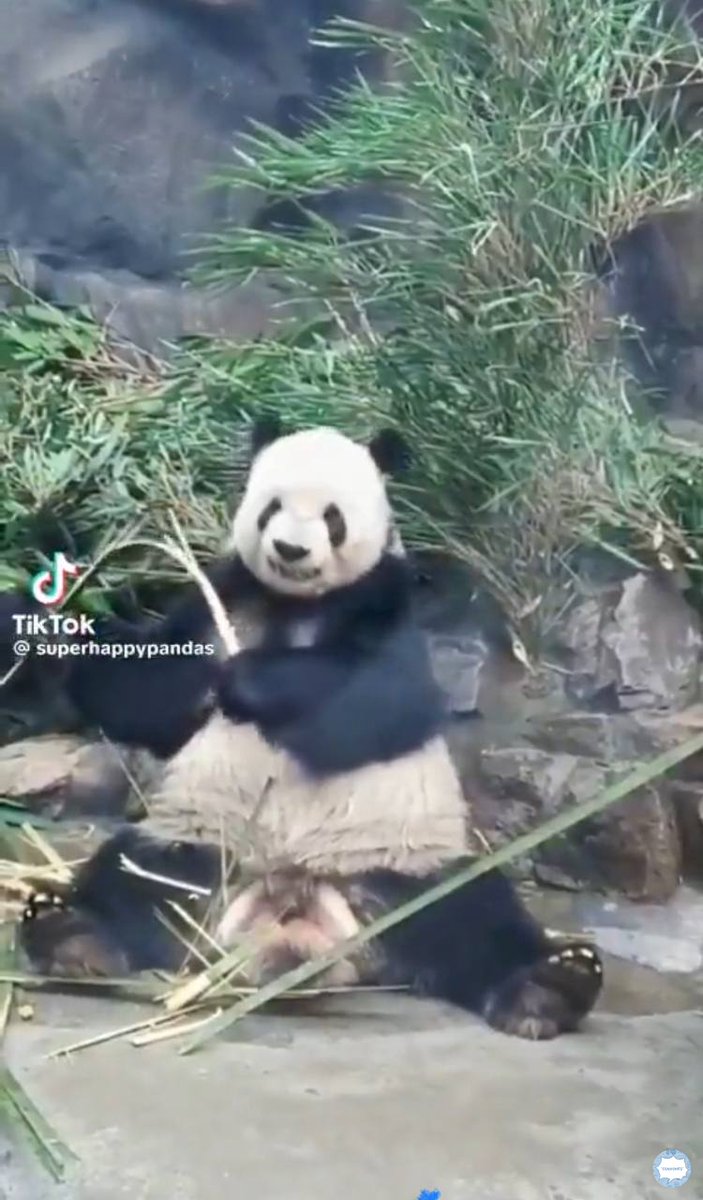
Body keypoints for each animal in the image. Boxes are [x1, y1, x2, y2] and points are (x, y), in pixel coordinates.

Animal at [19, 418, 603, 1039]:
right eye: (272, 507)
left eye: (332, 516)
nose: (291, 550)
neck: (300, 604)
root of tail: (297, 914)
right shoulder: (229, 595)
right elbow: (147, 694)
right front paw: (58, 636)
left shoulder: (389, 610)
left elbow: (376, 703)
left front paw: (248, 679)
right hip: (201, 852)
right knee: (131, 880)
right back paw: (69, 934)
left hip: (399, 869)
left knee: (473, 916)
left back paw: (551, 987)